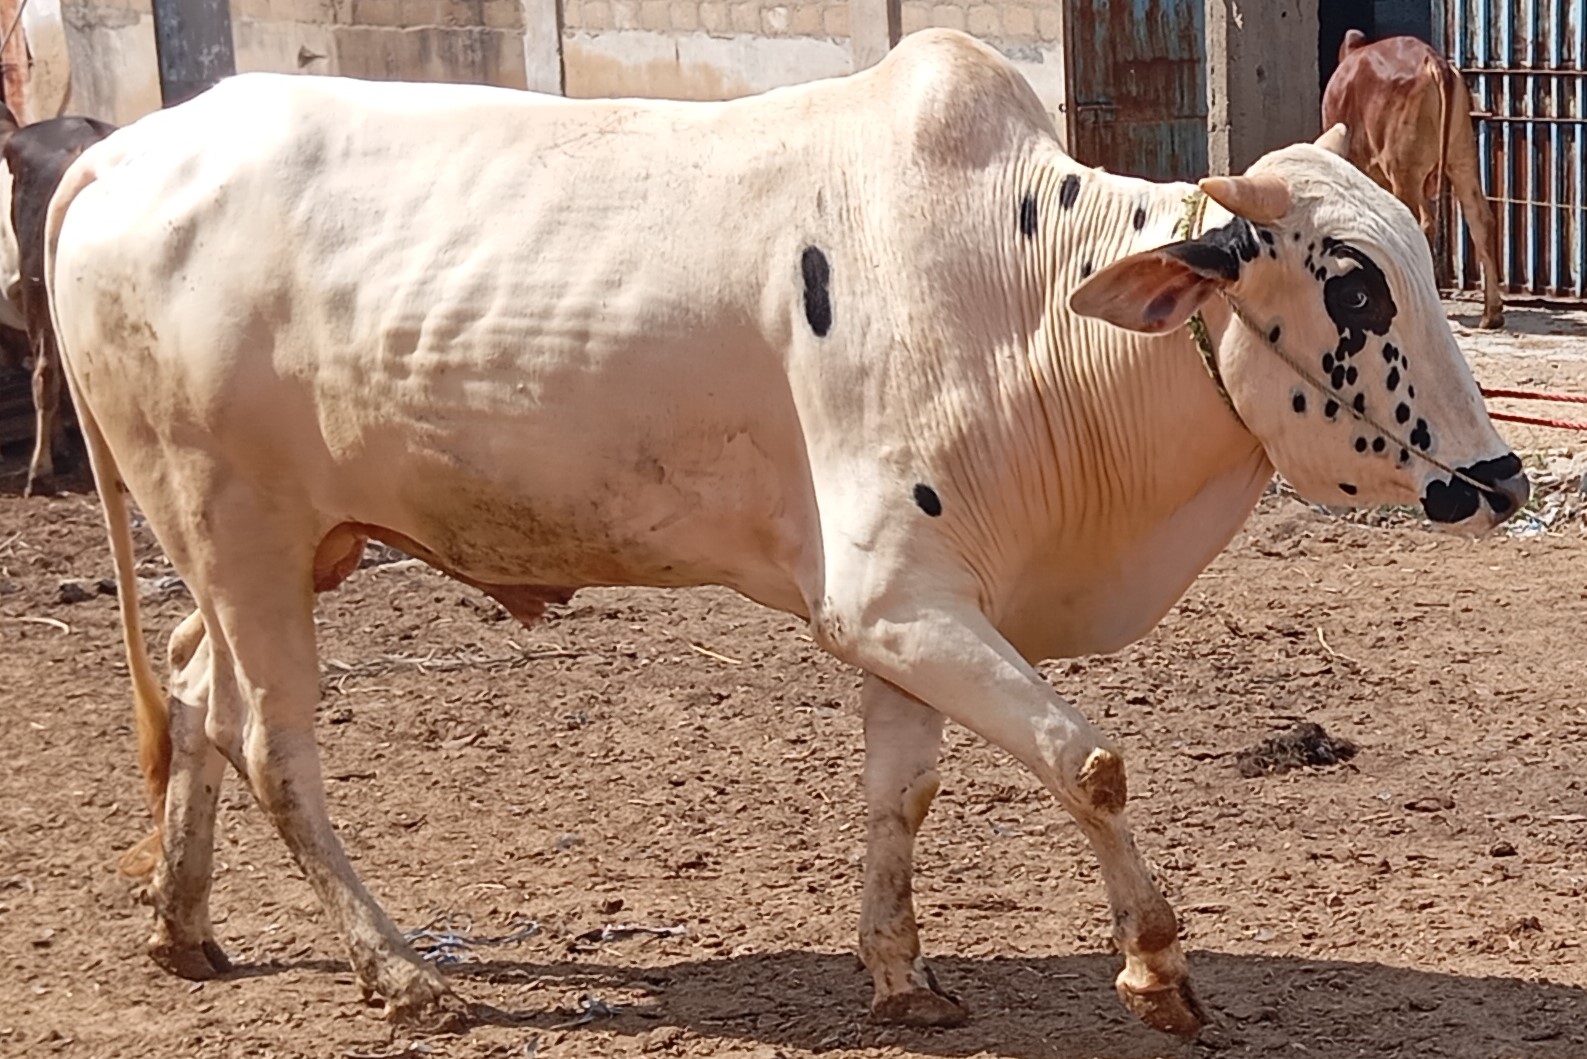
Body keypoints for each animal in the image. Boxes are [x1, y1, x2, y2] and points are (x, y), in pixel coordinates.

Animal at [1322, 29, 1504, 330]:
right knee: (1481, 220)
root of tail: (1432, 60)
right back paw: (1492, 314)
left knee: (1418, 222)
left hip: (1404, 171)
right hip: (1461, 157)